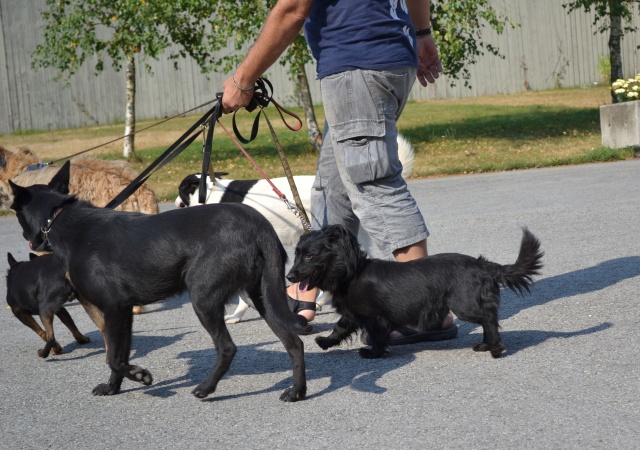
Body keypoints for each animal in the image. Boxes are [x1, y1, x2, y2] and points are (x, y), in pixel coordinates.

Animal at [9, 161, 307, 401]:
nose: (27, 239)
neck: (59, 219)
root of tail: (258, 224)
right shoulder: (123, 312)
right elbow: (117, 354)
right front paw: (113, 388)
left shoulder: (114, 307)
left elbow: (113, 357)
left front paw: (139, 375)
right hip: (264, 297)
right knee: (294, 342)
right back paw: (297, 391)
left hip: (204, 298)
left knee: (227, 348)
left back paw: (206, 388)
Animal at [287, 224, 544, 359]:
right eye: (296, 254)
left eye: (309, 256)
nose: (288, 277)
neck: (350, 273)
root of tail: (482, 264)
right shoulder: (354, 313)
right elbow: (340, 327)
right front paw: (325, 342)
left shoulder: (374, 317)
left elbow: (376, 336)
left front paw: (373, 353)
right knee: (488, 319)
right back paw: (486, 345)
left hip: (464, 304)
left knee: (488, 318)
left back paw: (495, 348)